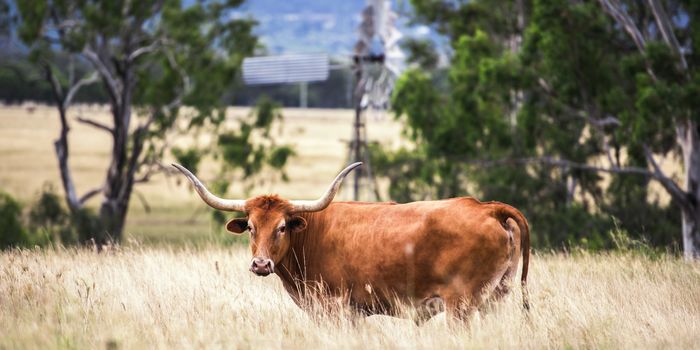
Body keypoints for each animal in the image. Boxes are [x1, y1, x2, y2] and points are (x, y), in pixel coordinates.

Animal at [174, 163, 532, 322]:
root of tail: (487, 207)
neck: (312, 235)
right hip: (495, 299)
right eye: (250, 226)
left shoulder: (338, 311)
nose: (261, 264)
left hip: (462, 304)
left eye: (282, 227)